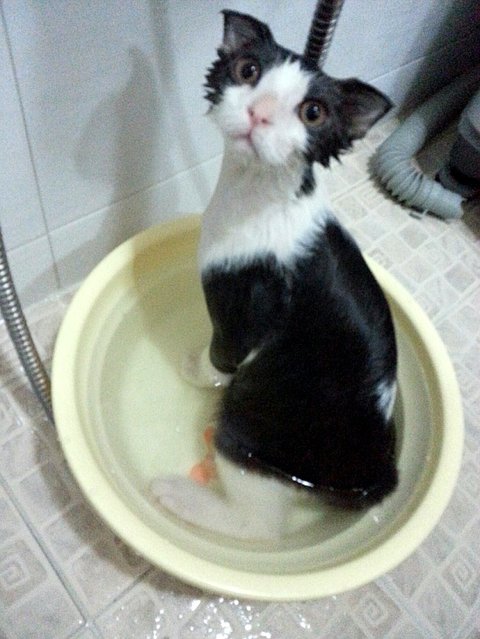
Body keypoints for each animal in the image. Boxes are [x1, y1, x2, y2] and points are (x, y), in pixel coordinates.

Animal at [151, 10, 398, 540]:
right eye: (247, 71)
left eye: (313, 113)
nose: (259, 113)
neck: (260, 195)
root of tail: (376, 476)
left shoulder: (243, 306)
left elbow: (221, 356)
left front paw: (194, 369)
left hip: (255, 417)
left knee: (258, 525)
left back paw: (181, 497)